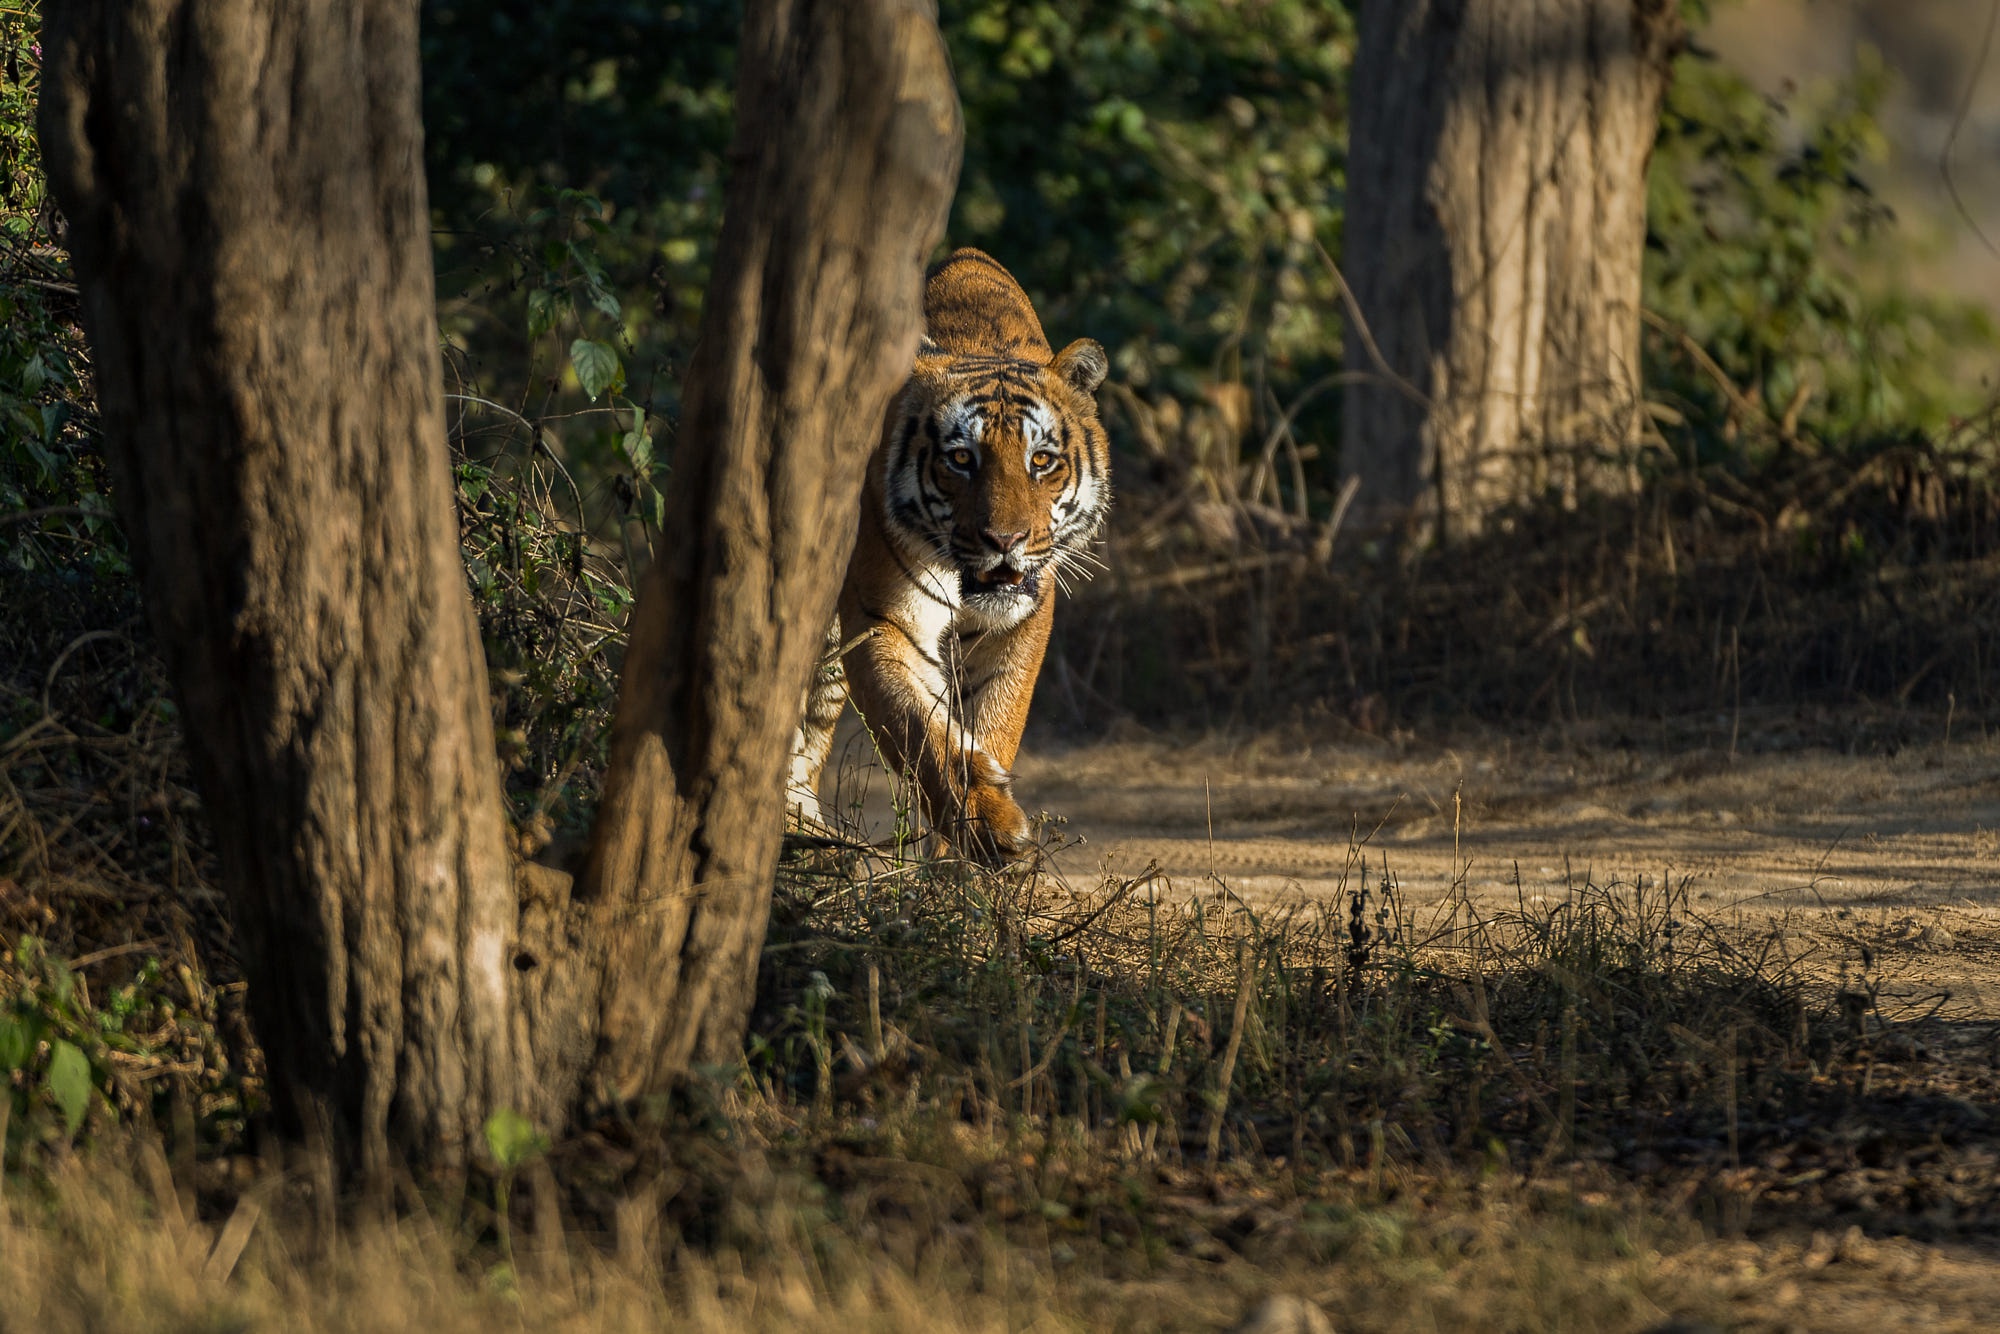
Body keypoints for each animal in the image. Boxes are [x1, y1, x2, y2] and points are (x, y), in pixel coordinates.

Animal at [788, 250, 1120, 868]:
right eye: (962, 459)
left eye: (1041, 460)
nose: (1005, 539)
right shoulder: (884, 619)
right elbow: (920, 729)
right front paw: (991, 828)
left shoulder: (1021, 624)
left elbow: (995, 723)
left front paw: (962, 867)